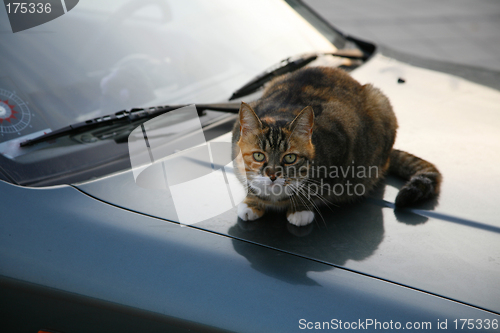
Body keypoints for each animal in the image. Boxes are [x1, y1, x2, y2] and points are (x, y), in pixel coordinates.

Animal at [231, 66, 442, 226]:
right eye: (259, 156)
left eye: (290, 158)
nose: (273, 175)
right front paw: (252, 202)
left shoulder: (343, 145)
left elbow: (315, 186)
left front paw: (300, 208)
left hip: (380, 103)